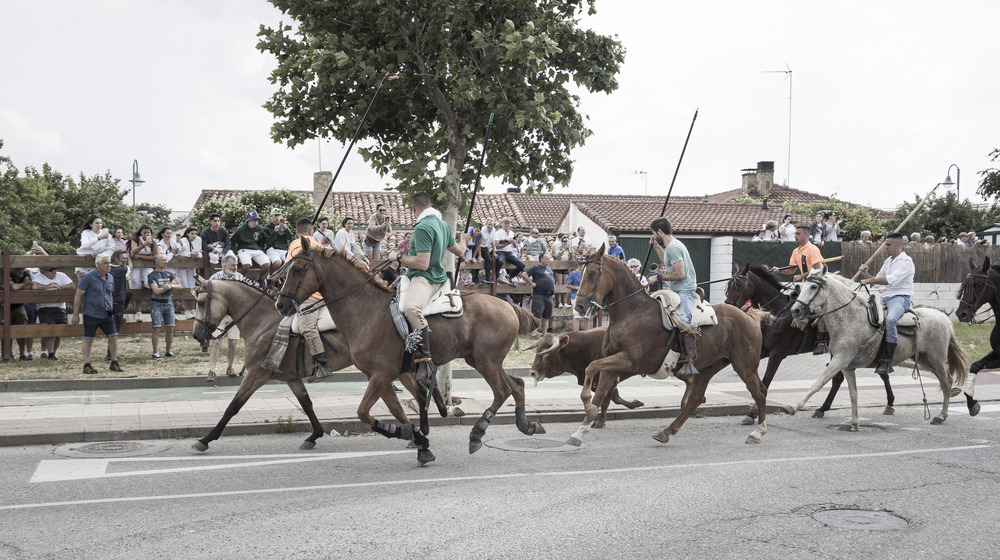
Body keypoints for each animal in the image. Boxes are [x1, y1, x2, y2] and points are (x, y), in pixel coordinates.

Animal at [191, 278, 434, 452]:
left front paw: (206, 439)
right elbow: (306, 404)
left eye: (201, 302)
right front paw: (314, 435)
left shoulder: (256, 374)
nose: (196, 335)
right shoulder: (291, 378)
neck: (264, 322)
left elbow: (233, 406)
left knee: (420, 392)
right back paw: (418, 433)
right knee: (420, 393)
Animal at [276, 238, 548, 466]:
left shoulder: (382, 374)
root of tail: (508, 306)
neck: (366, 310)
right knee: (517, 385)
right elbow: (395, 412)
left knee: (502, 391)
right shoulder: (379, 376)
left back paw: (477, 433)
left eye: (297, 269)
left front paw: (413, 436)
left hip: (486, 362)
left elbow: (364, 412)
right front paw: (419, 440)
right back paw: (526, 424)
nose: (280, 304)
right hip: (483, 360)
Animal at [572, 247, 764, 448]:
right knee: (695, 400)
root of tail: (749, 316)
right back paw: (666, 432)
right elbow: (600, 393)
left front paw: (587, 406)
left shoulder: (629, 361)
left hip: (745, 366)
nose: (579, 306)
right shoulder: (612, 364)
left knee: (760, 392)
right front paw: (580, 431)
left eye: (592, 273)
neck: (632, 311)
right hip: (708, 368)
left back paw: (757, 432)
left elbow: (591, 367)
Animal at [728, 264, 900, 422]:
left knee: (877, 373)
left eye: (738, 285)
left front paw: (752, 413)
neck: (778, 312)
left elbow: (766, 381)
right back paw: (822, 408)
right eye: (728, 285)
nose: (729, 305)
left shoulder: (777, 353)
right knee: (840, 379)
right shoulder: (765, 349)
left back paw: (889, 402)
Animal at [788, 270, 968, 430]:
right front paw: (854, 423)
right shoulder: (847, 366)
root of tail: (943, 317)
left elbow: (818, 383)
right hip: (926, 360)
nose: (795, 310)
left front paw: (794, 406)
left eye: (813, 286)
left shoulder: (839, 360)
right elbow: (853, 394)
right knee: (946, 381)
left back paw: (941, 416)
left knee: (946, 382)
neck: (850, 319)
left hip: (936, 359)